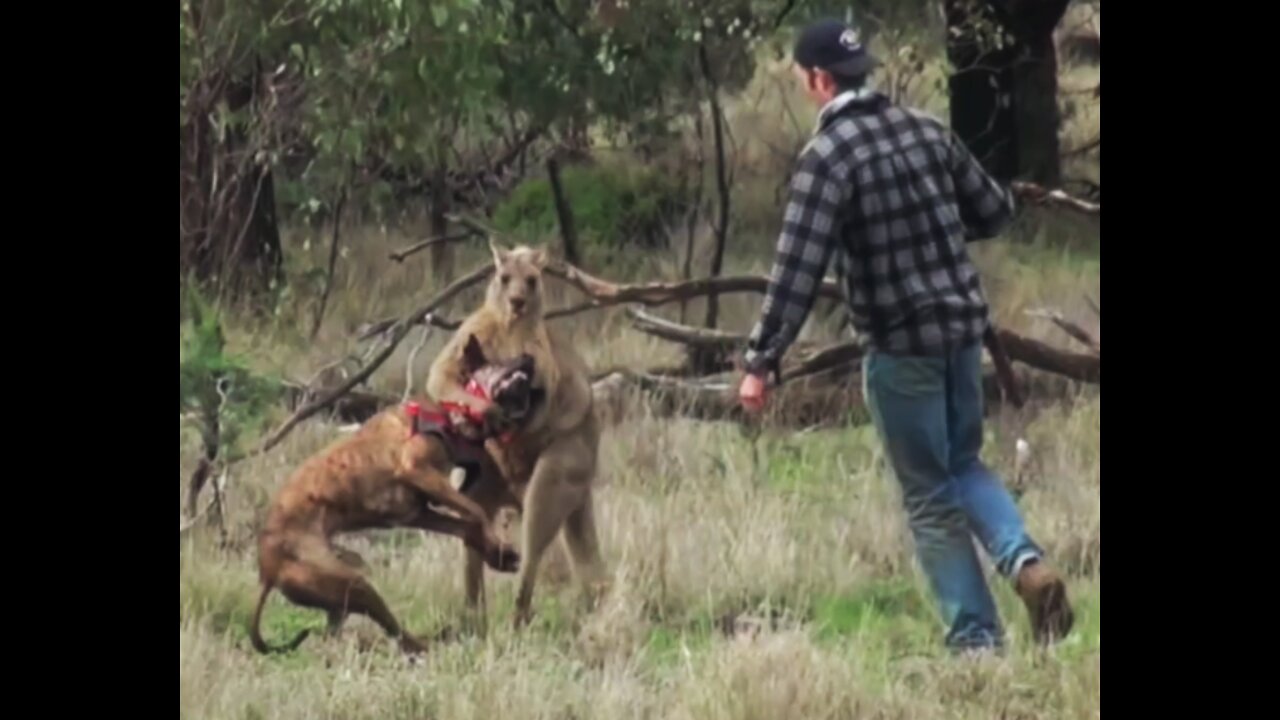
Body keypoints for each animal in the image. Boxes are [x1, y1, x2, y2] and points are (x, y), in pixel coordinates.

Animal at [252, 333, 532, 653]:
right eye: (501, 362)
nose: (529, 357)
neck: (450, 412)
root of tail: (266, 570)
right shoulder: (417, 471)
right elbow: (475, 511)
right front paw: (498, 548)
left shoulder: (420, 511)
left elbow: (467, 522)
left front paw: (496, 554)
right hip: (354, 583)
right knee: (395, 631)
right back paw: (426, 644)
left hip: (344, 578)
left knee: (337, 628)